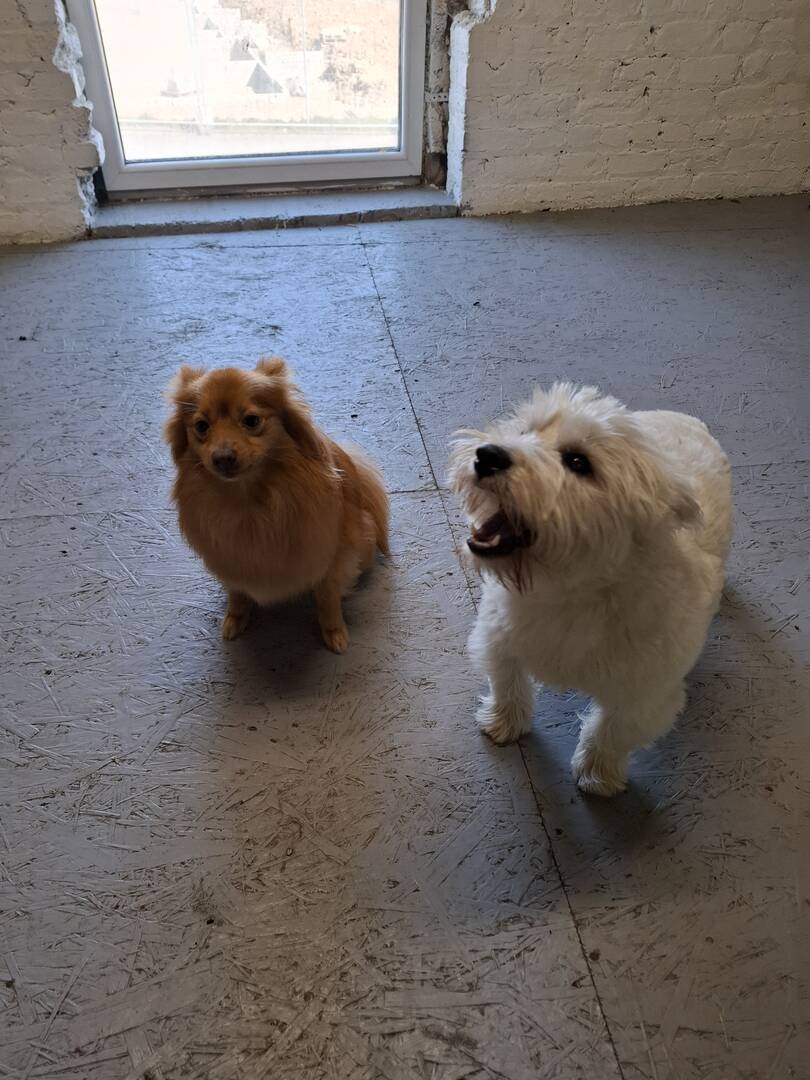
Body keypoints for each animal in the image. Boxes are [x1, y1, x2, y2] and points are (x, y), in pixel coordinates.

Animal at [165, 357, 389, 653]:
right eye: (201, 426)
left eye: (251, 421)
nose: (222, 458)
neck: (247, 501)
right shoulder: (229, 559)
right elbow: (237, 592)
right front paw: (235, 617)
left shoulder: (331, 558)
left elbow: (327, 599)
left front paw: (334, 631)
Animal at [449, 383, 733, 796]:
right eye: (525, 430)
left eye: (578, 462)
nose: (488, 455)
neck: (567, 589)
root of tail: (683, 417)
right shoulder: (499, 638)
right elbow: (508, 683)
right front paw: (503, 722)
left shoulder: (643, 695)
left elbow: (612, 732)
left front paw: (597, 773)